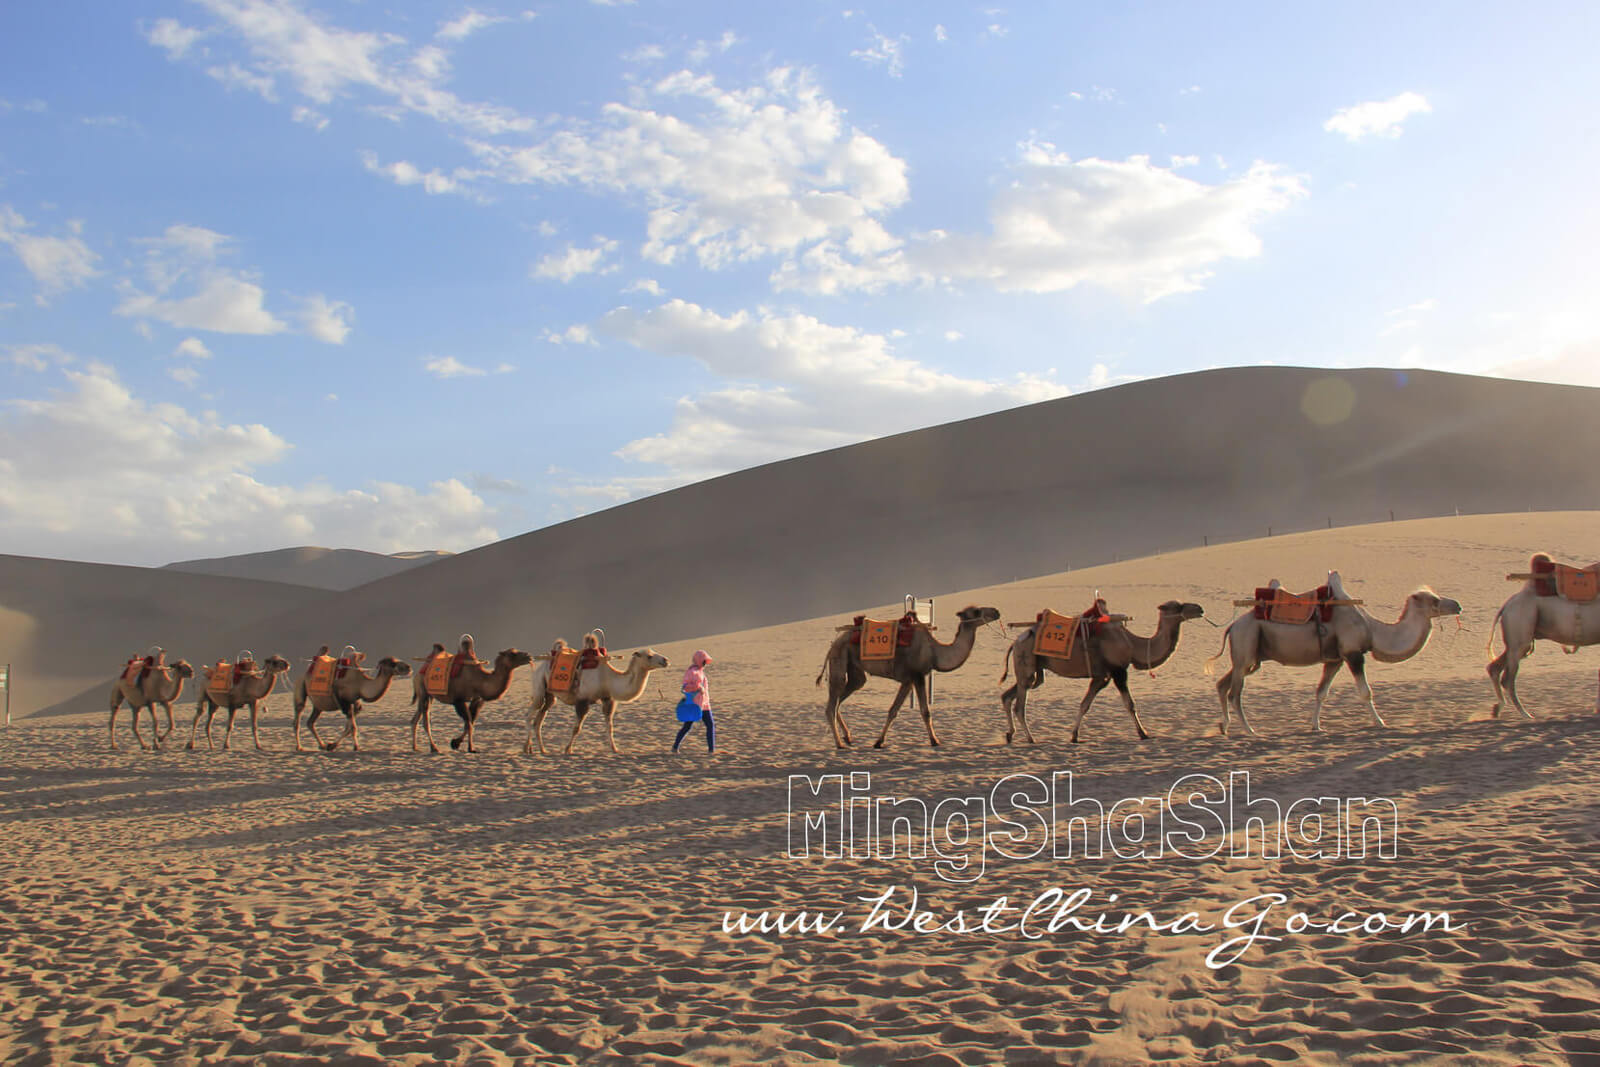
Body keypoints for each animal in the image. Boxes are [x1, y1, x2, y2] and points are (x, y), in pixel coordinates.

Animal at [524, 646, 668, 755]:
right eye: (649, 656)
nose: (665, 660)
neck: (608, 678)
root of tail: (539, 664)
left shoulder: (608, 699)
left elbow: (610, 727)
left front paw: (615, 749)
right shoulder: (582, 700)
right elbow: (577, 728)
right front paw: (568, 749)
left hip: (549, 696)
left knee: (539, 719)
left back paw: (542, 750)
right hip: (539, 685)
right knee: (529, 715)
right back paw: (527, 748)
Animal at [812, 604, 998, 748]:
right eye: (976, 611)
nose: (996, 611)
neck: (935, 652)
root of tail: (833, 643)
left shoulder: (908, 680)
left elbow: (893, 710)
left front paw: (879, 742)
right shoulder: (917, 675)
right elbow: (925, 711)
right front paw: (935, 740)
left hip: (855, 672)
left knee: (841, 700)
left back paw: (848, 737)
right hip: (839, 660)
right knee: (831, 704)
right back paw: (839, 743)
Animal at [992, 601, 1203, 742]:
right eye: (1177, 606)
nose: (1200, 608)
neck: (1133, 644)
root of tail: (1015, 642)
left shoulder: (1102, 676)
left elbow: (1084, 704)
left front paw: (1074, 735)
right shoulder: (1118, 671)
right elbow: (1130, 704)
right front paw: (1143, 733)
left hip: (1034, 672)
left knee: (1008, 695)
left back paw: (1010, 734)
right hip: (1026, 661)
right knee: (1019, 706)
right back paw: (1030, 738)